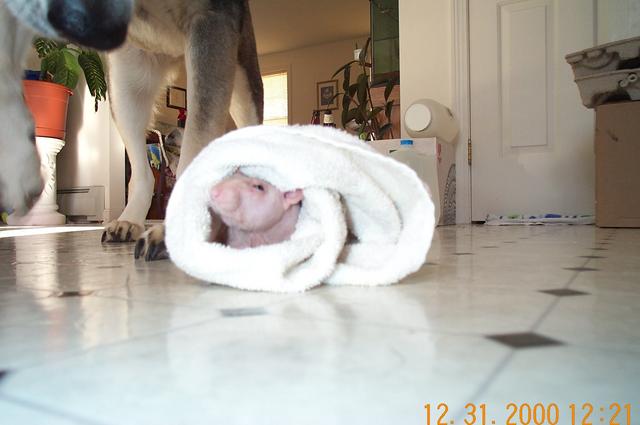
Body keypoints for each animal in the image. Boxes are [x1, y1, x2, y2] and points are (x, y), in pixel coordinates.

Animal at [100, 0, 264, 261]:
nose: (168, 136)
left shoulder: (211, 21)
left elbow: (196, 141)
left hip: (243, 76)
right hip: (124, 78)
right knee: (141, 170)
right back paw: (128, 219)